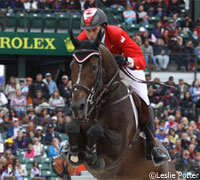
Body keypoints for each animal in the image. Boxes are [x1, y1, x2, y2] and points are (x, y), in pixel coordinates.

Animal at [66, 29, 178, 180]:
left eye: (94, 67)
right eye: (71, 67)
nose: (77, 107)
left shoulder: (119, 146)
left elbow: (96, 130)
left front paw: (93, 157)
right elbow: (72, 127)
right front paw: (74, 154)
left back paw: (157, 153)